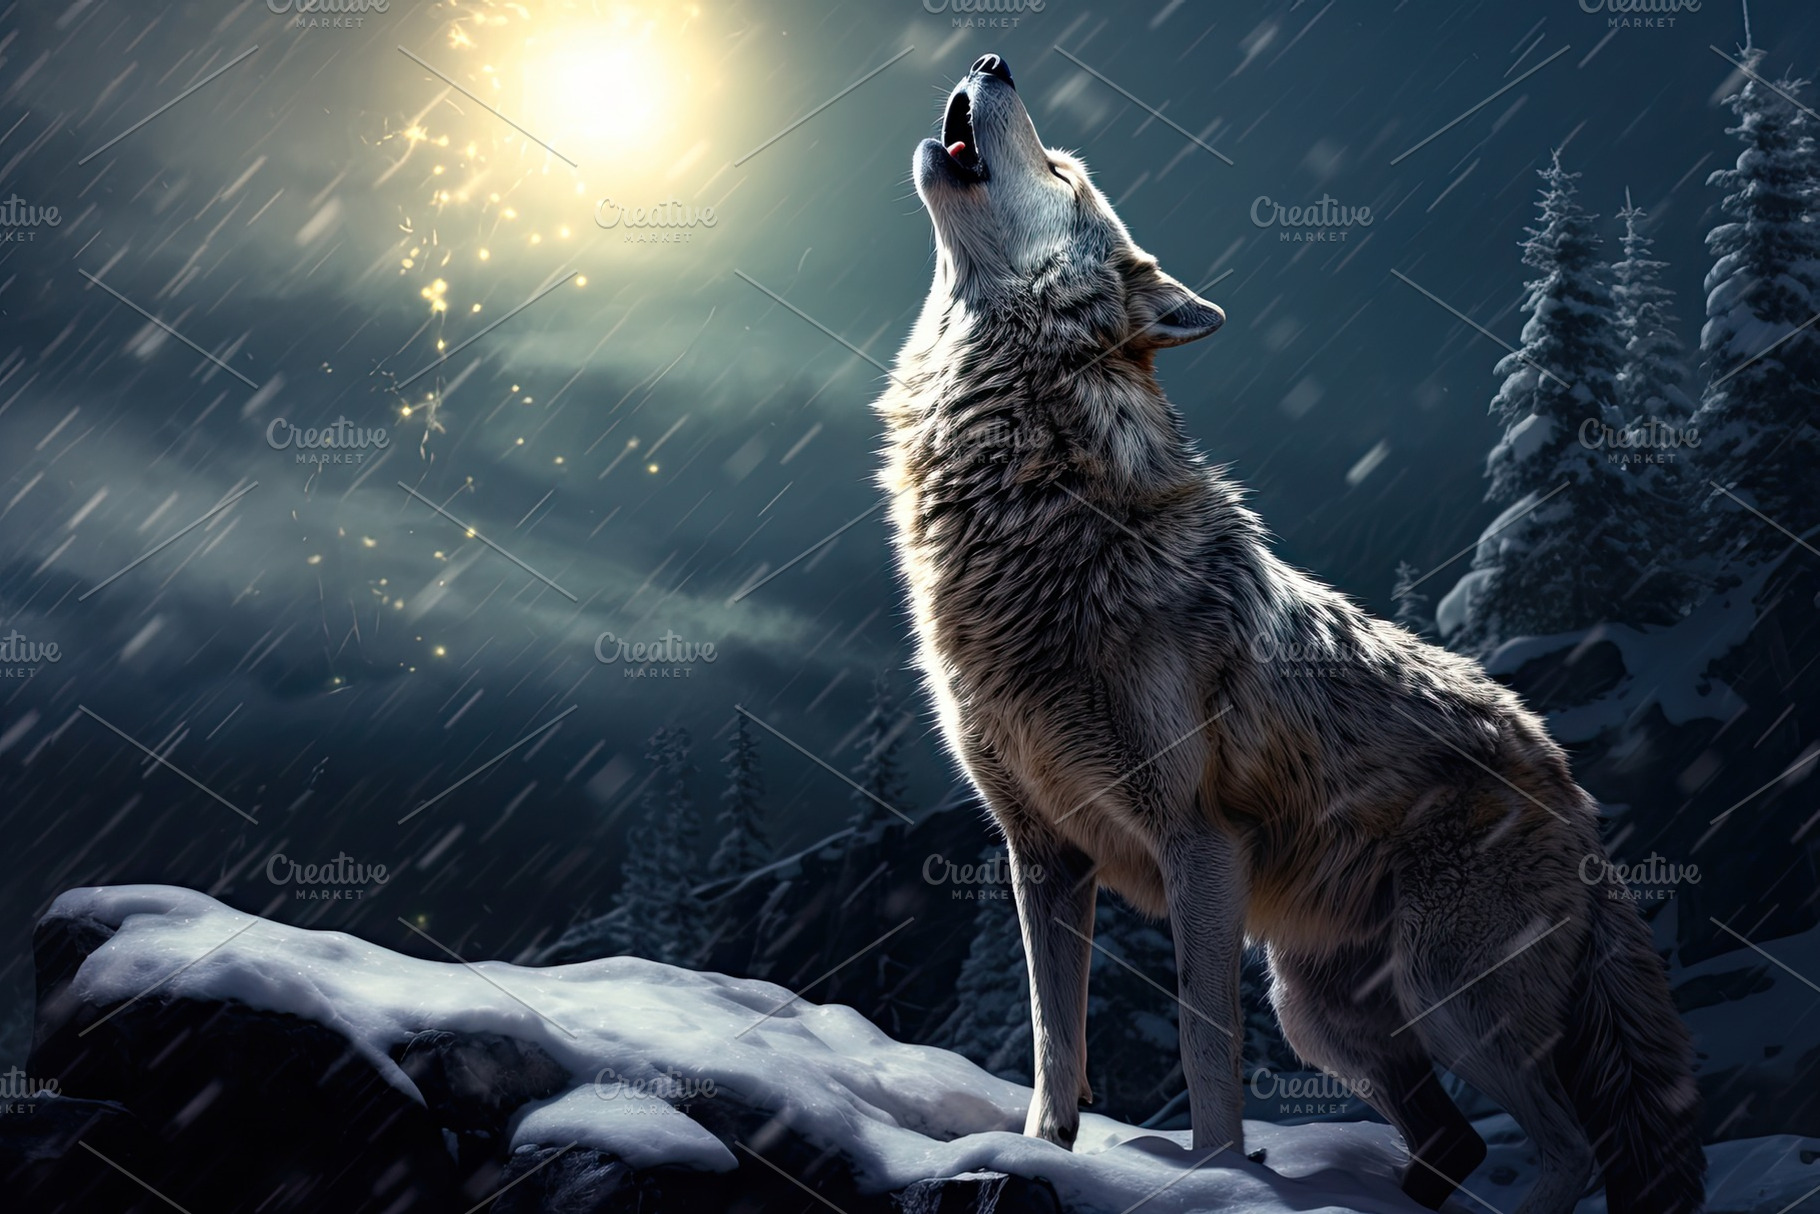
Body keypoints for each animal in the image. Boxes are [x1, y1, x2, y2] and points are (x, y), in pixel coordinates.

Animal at [875, 53, 1704, 1214]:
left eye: (1062, 170)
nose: (995, 62)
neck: (1037, 496)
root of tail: (1568, 776)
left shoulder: (1198, 844)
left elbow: (1199, 1041)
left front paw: (1212, 1175)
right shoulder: (1041, 856)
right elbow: (1052, 1043)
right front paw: (1038, 1150)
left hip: (1447, 997)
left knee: (1564, 1146)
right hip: (1326, 1013)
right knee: (1452, 1139)